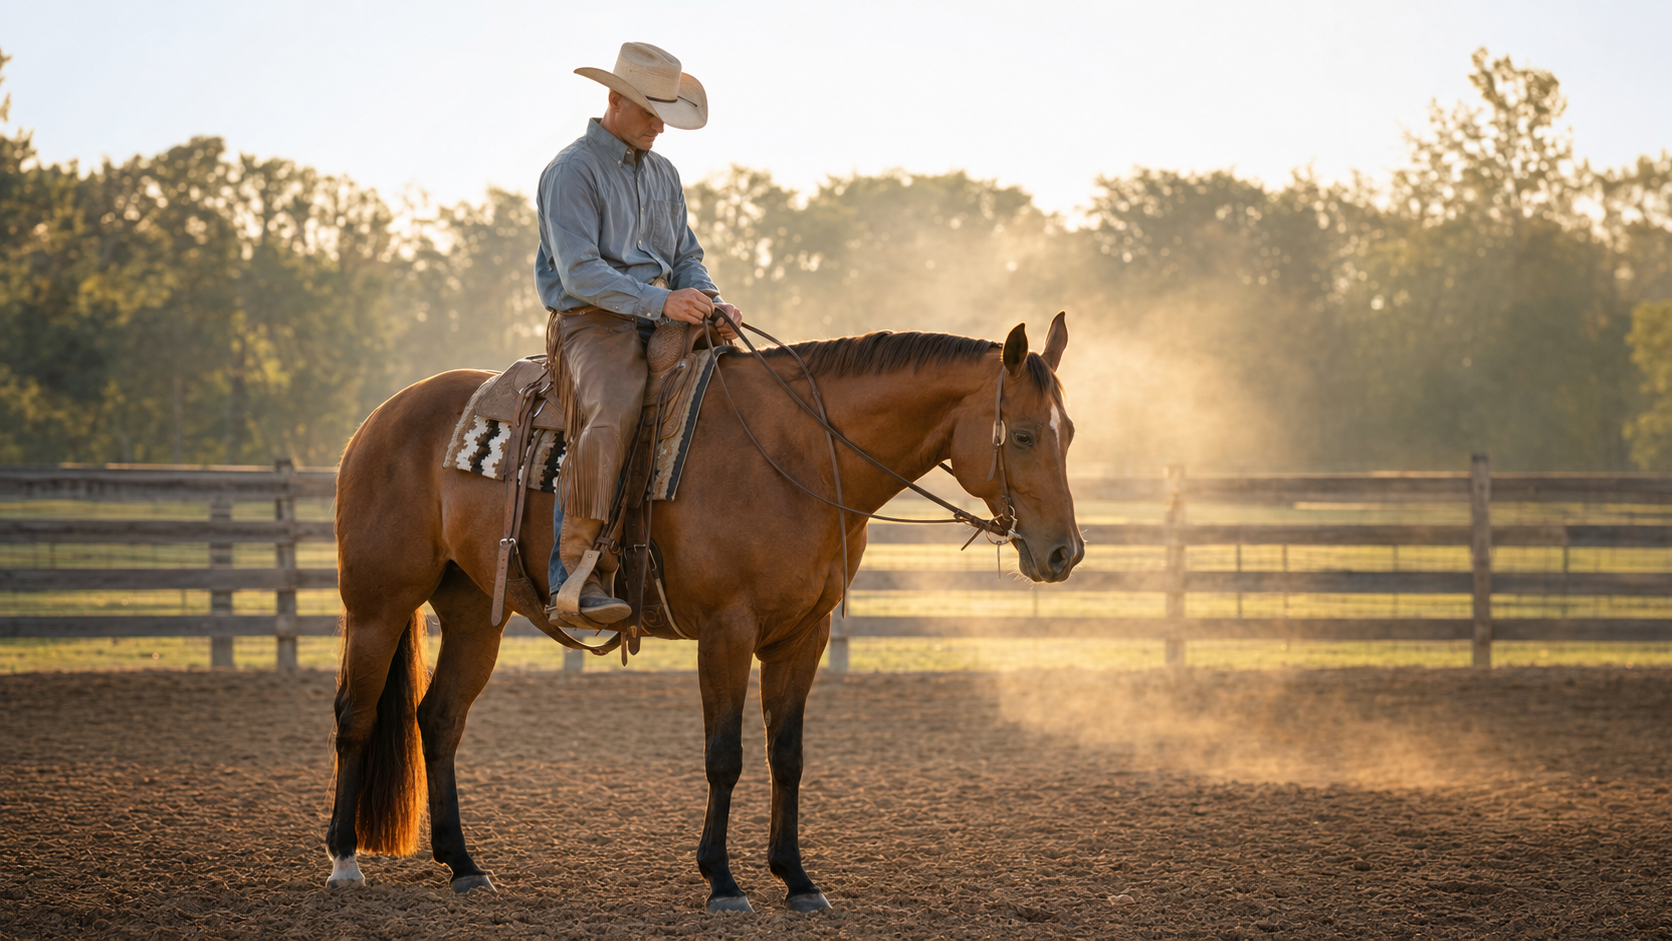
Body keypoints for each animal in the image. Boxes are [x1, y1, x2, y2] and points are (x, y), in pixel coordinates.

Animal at [323, 313, 1083, 913]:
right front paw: (722, 880)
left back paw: (464, 865)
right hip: (377, 604)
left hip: (476, 613)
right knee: (355, 715)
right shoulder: (726, 629)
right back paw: (344, 859)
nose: (1063, 553)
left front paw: (797, 879)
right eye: (1020, 435)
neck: (799, 454)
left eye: (1068, 432)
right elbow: (725, 755)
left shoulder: (802, 635)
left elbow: (786, 755)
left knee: (439, 719)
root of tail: (380, 418)